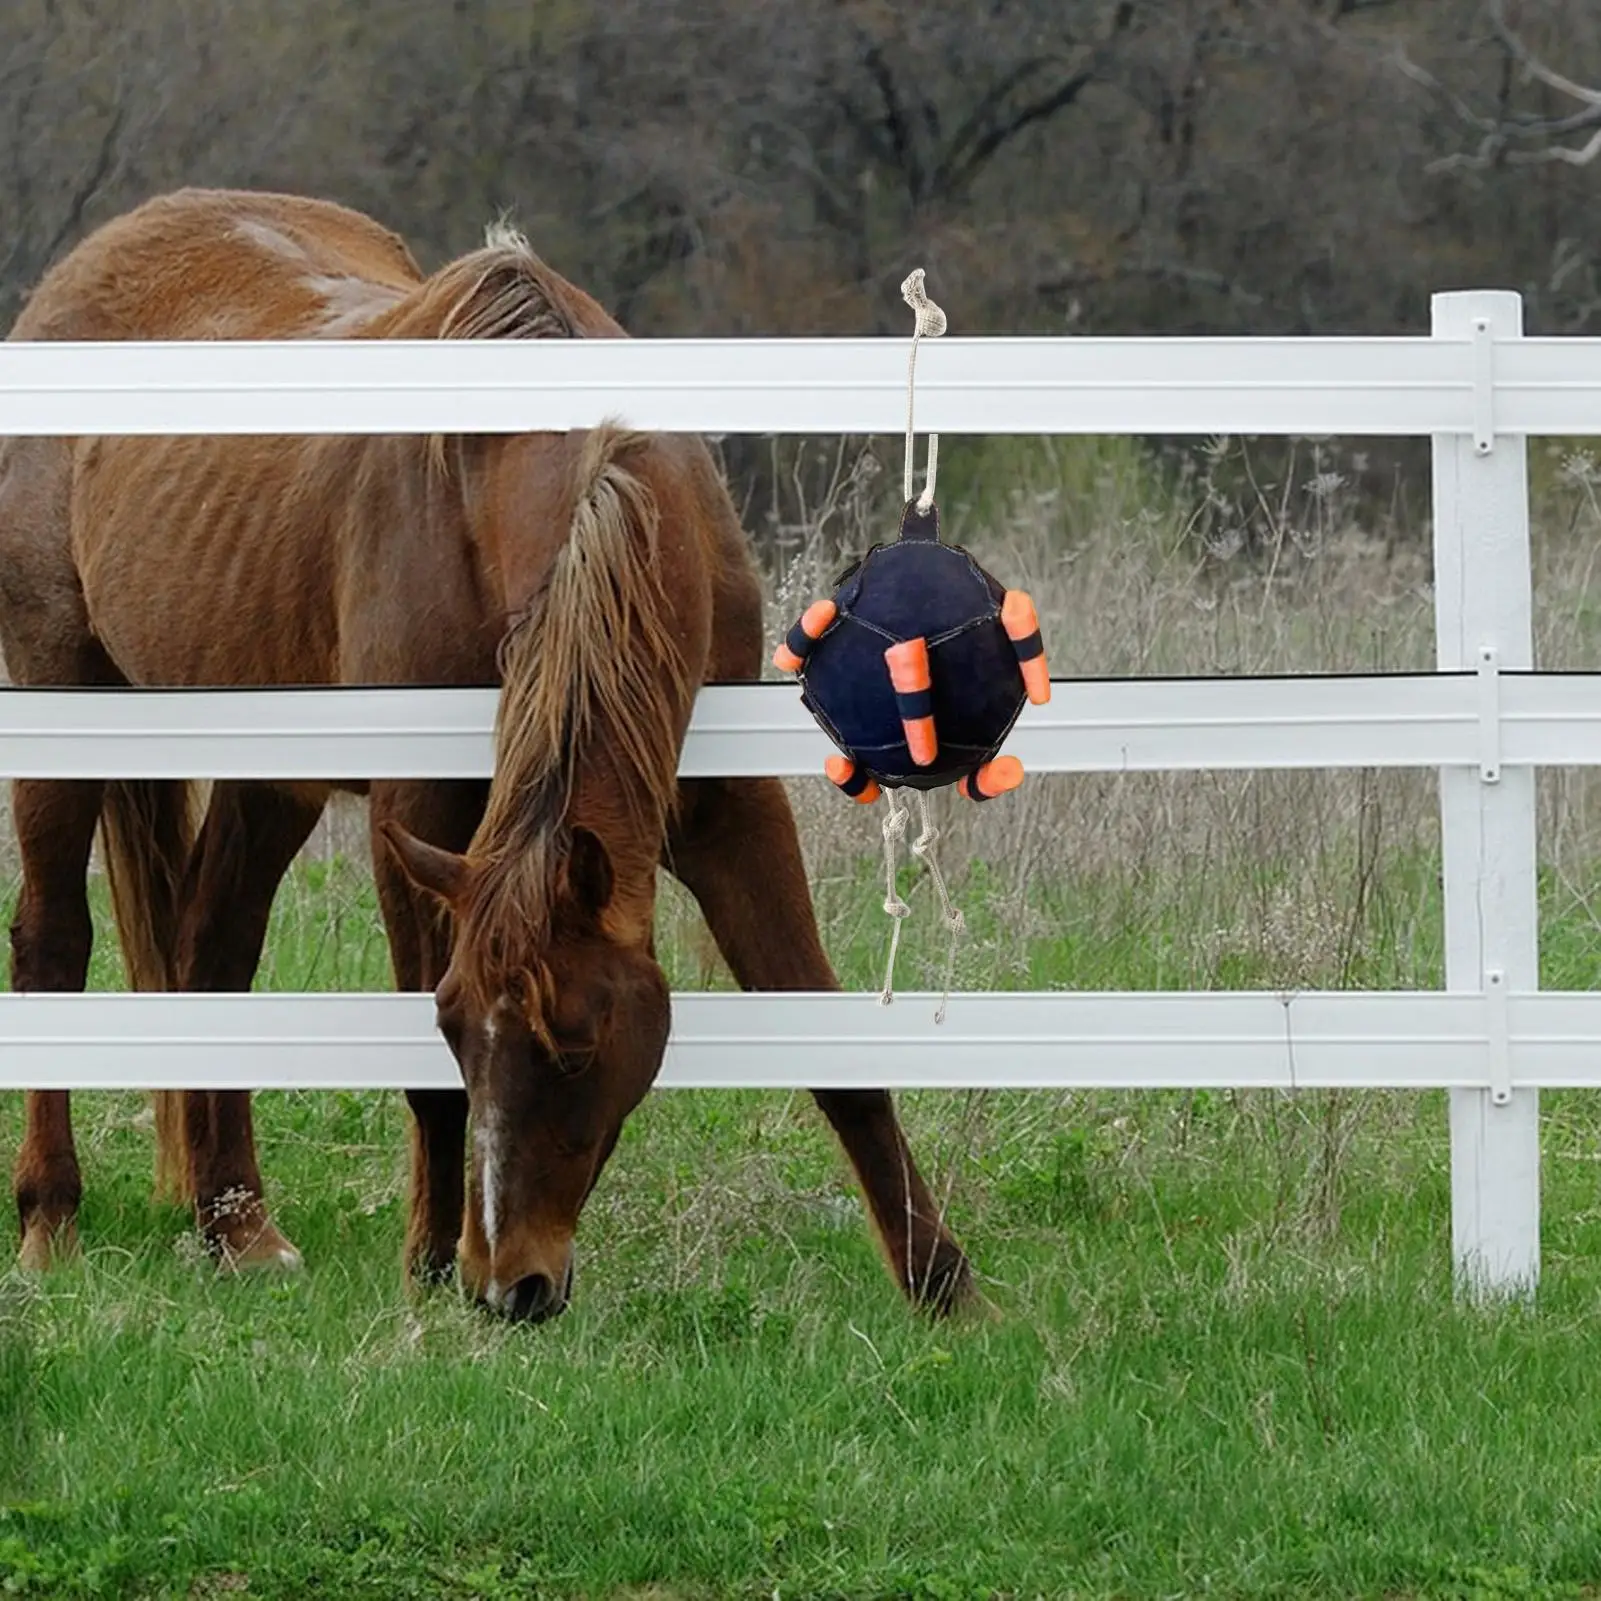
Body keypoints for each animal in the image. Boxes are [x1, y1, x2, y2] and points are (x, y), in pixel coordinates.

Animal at [0, 187, 972, 1322]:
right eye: (459, 1029)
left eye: (578, 1044)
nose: (515, 1283)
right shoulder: (416, 808)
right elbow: (423, 1076)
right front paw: (428, 1265)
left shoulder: (727, 808)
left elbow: (835, 1047)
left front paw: (944, 1283)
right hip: (65, 697)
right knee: (54, 942)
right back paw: (51, 1222)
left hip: (269, 769)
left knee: (211, 948)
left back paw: (235, 1226)